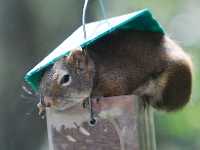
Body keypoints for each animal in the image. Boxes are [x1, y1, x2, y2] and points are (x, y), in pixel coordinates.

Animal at [38, 29, 193, 113]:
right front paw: (41, 107)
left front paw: (94, 96)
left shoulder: (116, 77)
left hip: (172, 79)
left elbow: (116, 89)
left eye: (65, 78)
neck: (96, 70)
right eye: (41, 81)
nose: (48, 102)